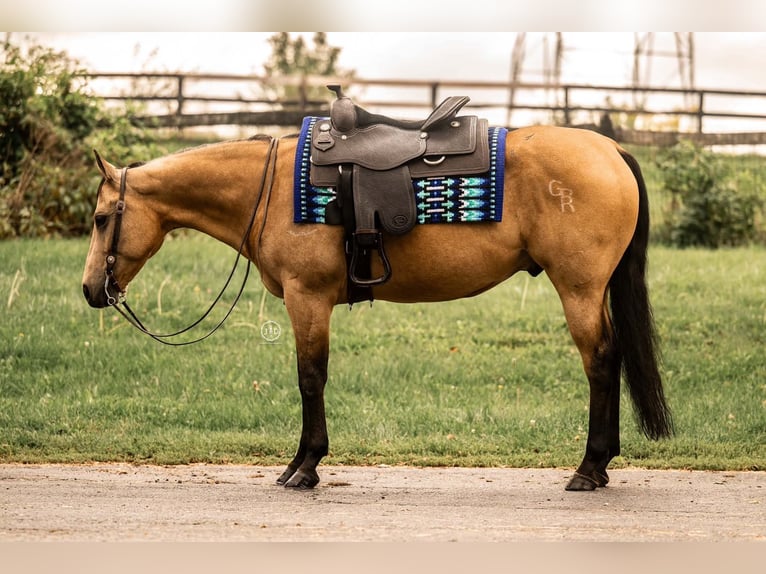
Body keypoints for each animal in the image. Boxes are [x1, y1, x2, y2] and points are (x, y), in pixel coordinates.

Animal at [81, 123, 672, 491]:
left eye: (101, 218)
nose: (91, 290)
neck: (270, 189)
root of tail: (610, 150)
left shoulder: (308, 297)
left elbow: (310, 378)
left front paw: (305, 465)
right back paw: (600, 465)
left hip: (579, 289)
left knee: (601, 362)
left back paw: (590, 467)